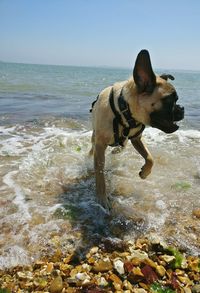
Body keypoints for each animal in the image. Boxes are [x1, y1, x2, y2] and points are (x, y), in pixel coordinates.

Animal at [90, 50, 184, 210]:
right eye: (170, 100)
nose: (182, 109)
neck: (125, 112)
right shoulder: (100, 146)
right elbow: (100, 173)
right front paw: (102, 198)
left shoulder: (136, 139)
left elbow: (150, 158)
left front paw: (145, 173)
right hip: (94, 136)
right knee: (93, 147)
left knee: (123, 145)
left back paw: (118, 149)